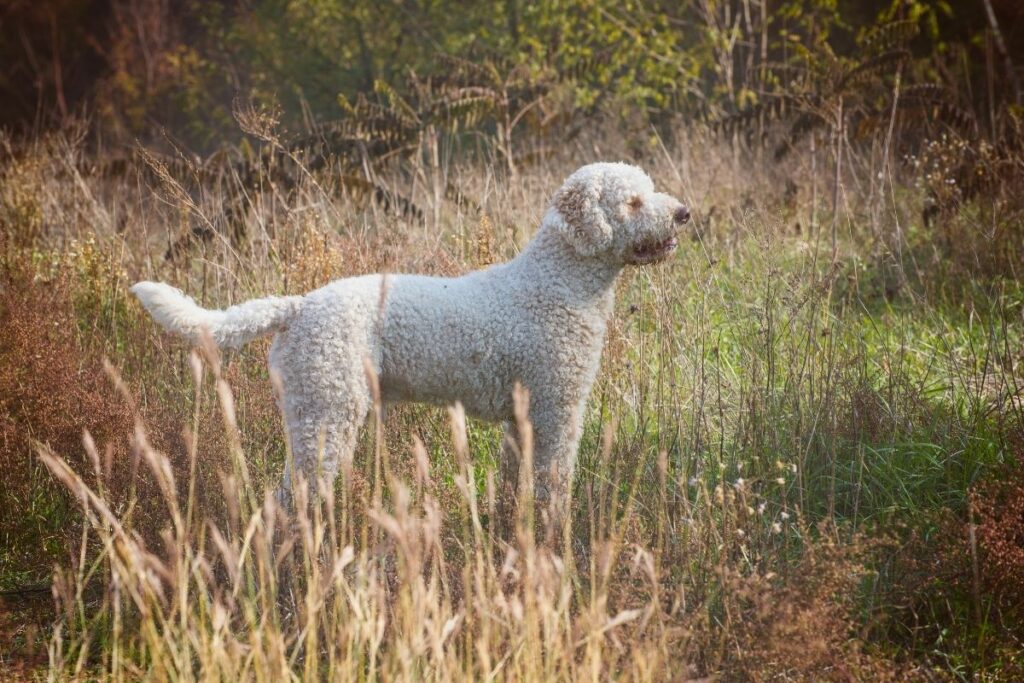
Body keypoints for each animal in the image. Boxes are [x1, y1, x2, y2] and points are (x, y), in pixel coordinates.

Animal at [130, 162, 688, 520]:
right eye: (633, 201)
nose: (683, 212)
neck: (557, 281)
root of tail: (297, 306)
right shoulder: (559, 408)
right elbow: (554, 484)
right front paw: (555, 540)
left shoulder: (521, 418)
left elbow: (516, 485)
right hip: (327, 414)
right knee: (293, 502)